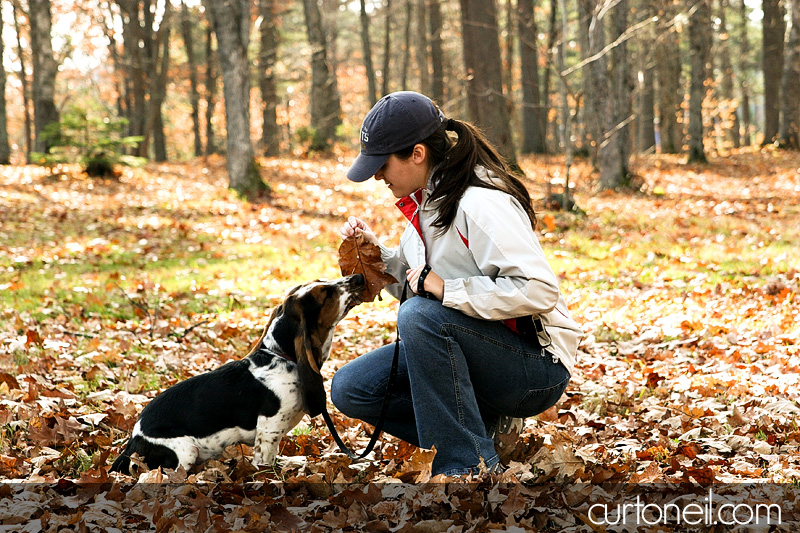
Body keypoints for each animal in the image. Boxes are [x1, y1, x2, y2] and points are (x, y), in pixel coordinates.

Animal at [110, 274, 366, 474]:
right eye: (325, 294)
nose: (359, 277)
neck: (283, 357)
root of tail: (131, 445)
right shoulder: (269, 431)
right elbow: (265, 465)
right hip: (186, 450)